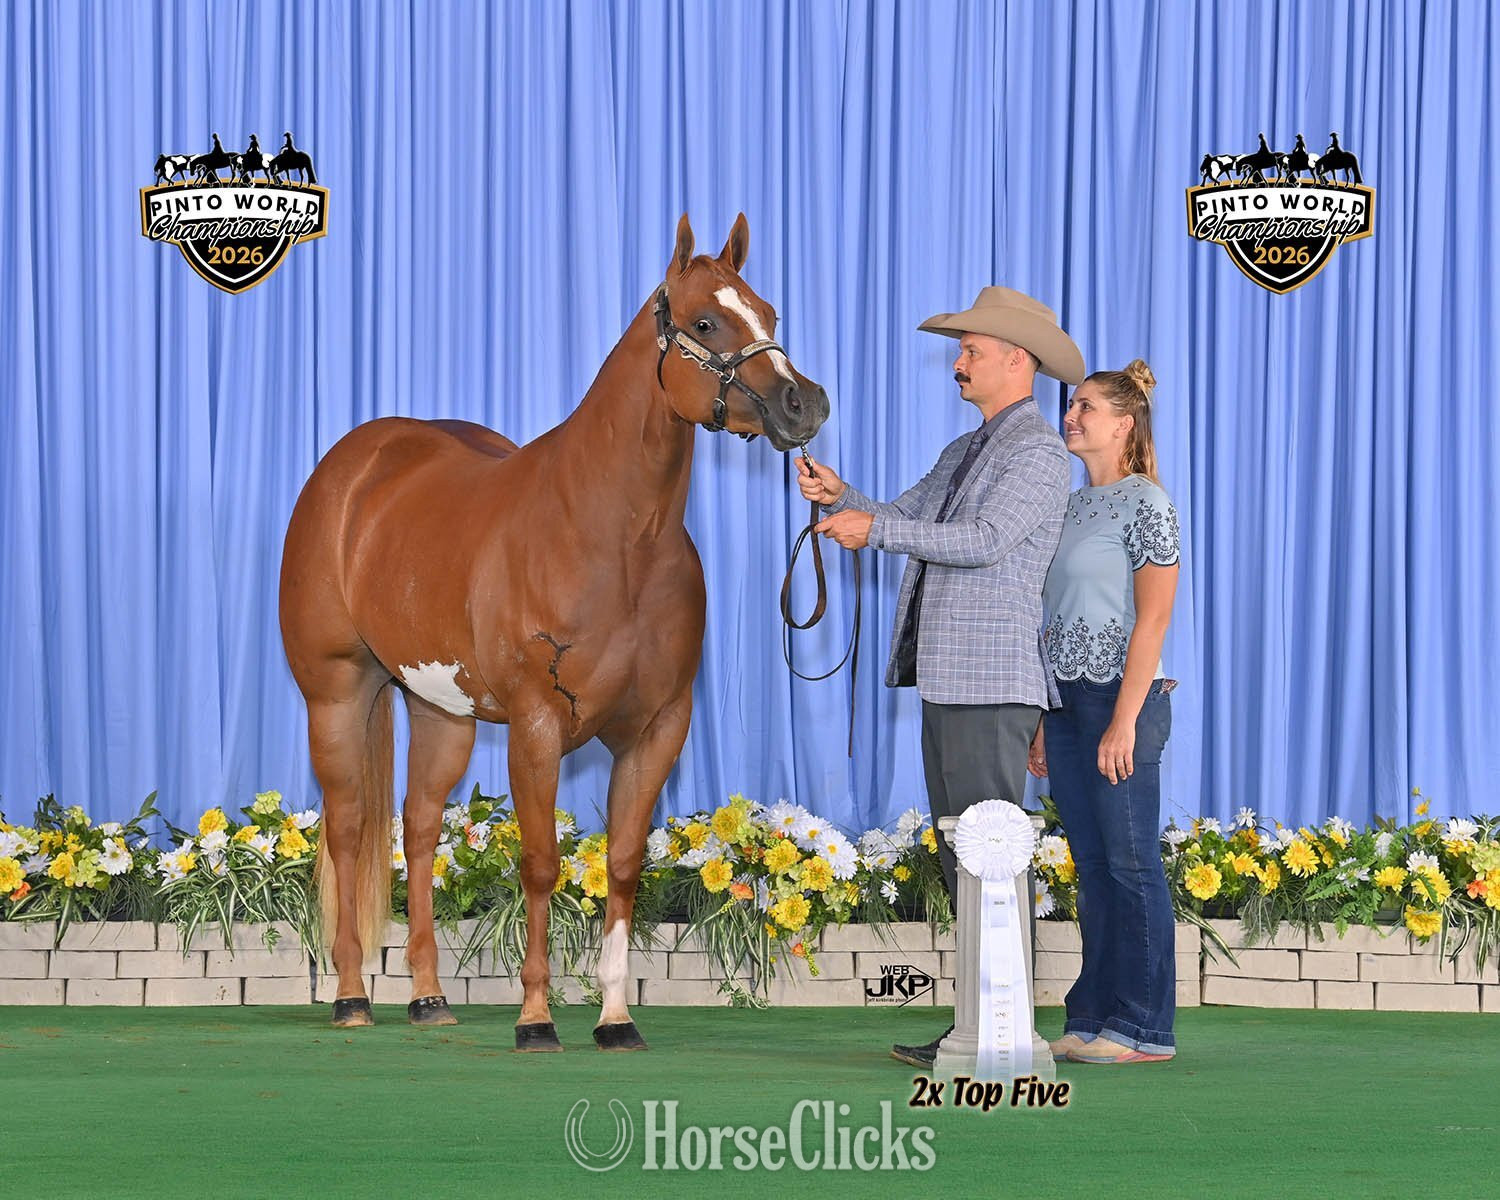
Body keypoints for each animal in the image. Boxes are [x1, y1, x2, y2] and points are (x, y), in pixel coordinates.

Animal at [278, 214, 828, 1050]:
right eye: (705, 322)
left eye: (769, 313)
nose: (805, 406)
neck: (614, 541)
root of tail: (353, 467)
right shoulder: (538, 726)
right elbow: (540, 865)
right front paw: (536, 1019)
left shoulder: (657, 728)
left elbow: (625, 864)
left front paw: (615, 1018)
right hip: (337, 693)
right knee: (347, 831)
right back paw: (350, 998)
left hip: (443, 712)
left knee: (418, 828)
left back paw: (429, 998)